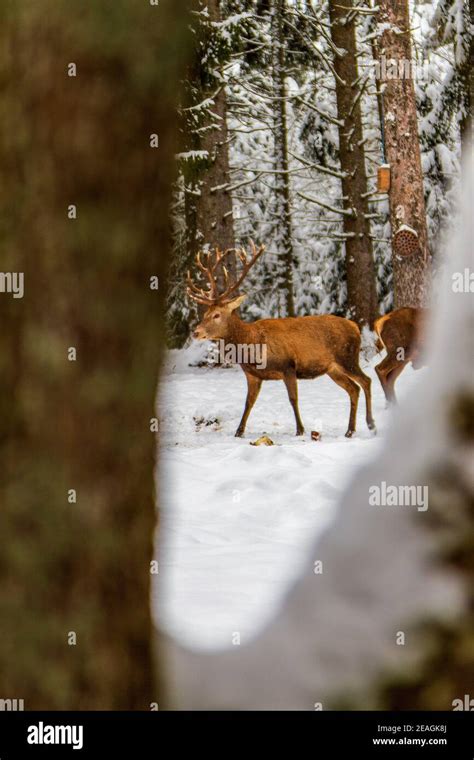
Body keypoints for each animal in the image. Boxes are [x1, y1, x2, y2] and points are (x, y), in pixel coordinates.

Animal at [187, 238, 376, 440]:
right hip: (333, 369)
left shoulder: (288, 366)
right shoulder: (253, 375)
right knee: (353, 389)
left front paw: (300, 430)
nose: (196, 332)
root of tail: (355, 327)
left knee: (366, 381)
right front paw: (239, 431)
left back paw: (371, 425)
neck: (252, 347)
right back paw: (350, 430)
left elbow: (293, 399)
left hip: (348, 358)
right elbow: (248, 402)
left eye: (216, 315)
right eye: (205, 313)